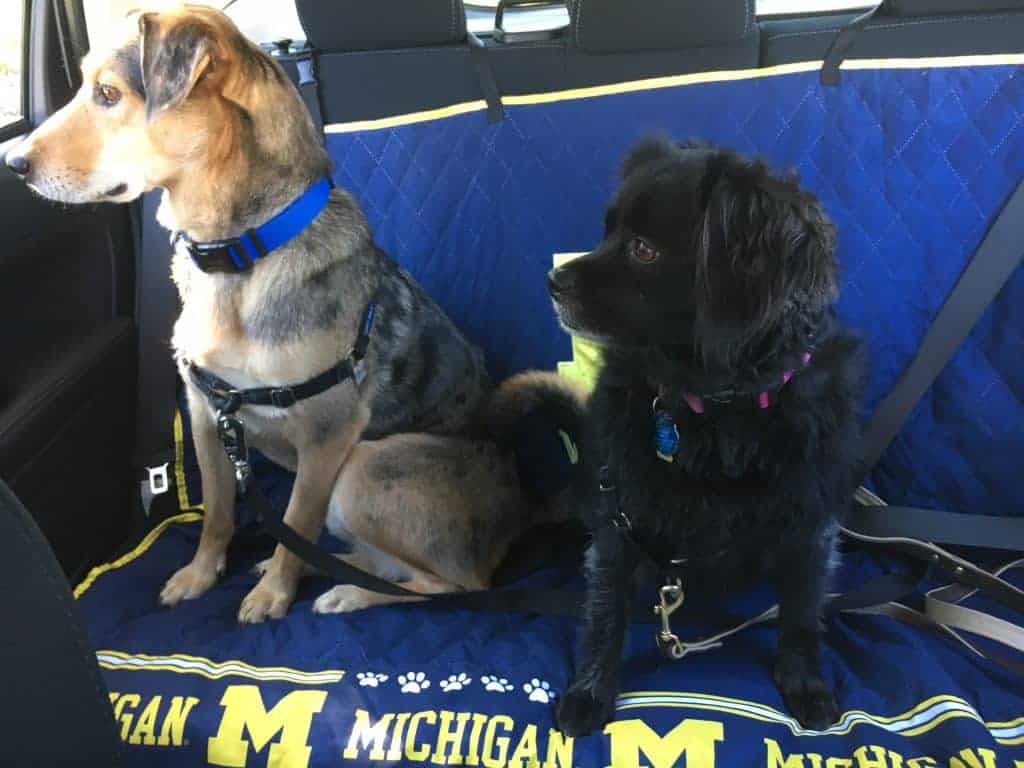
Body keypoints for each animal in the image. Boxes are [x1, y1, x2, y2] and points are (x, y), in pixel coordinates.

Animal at [8, 4, 585, 618]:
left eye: (109, 94)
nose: (13, 162)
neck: (240, 254)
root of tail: (522, 507)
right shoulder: (208, 415)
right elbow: (218, 513)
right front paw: (201, 574)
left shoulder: (327, 436)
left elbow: (295, 522)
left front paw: (272, 595)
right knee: (390, 566)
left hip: (365, 469)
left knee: (452, 583)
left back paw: (349, 591)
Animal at [548, 140, 860, 741]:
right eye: (605, 231)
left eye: (643, 249)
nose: (552, 283)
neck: (715, 405)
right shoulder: (619, 514)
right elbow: (605, 608)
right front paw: (590, 689)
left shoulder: (810, 520)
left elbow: (803, 610)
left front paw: (805, 682)